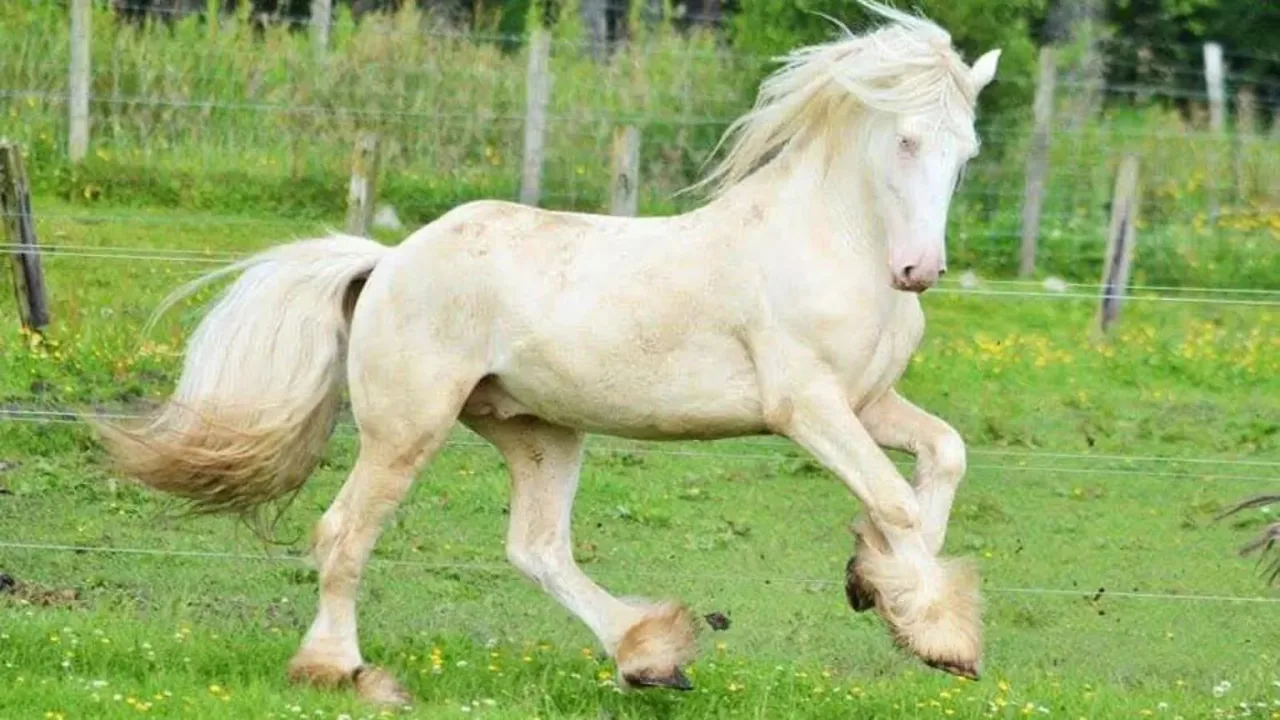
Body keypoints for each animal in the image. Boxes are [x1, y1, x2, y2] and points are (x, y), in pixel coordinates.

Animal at [95, 1, 1002, 705]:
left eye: (966, 153)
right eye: (906, 141)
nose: (920, 270)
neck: (832, 242)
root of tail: (387, 261)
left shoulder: (868, 403)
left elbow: (943, 460)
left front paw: (878, 586)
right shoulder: (806, 408)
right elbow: (895, 501)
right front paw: (938, 635)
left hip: (538, 431)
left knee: (536, 549)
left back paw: (650, 656)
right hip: (407, 429)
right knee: (344, 532)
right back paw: (347, 673)